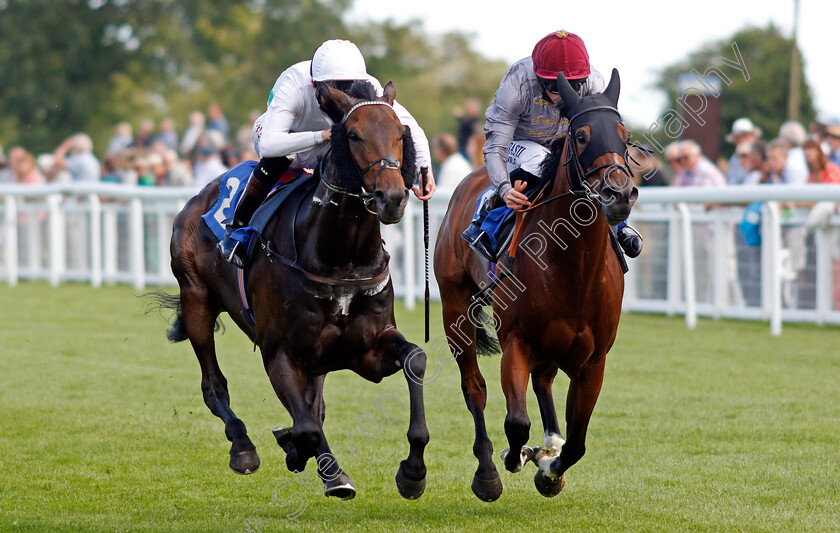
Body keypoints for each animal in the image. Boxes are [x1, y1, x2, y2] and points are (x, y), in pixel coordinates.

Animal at [157, 81, 430, 500]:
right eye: (353, 135)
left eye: (401, 134)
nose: (394, 197)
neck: (341, 257)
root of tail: (200, 196)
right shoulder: (280, 353)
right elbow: (306, 427)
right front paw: (311, 459)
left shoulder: (366, 350)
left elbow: (414, 359)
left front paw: (413, 472)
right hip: (197, 300)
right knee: (213, 384)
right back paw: (243, 446)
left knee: (313, 404)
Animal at [434, 68, 636, 500]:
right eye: (582, 135)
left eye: (624, 135)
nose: (620, 193)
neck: (574, 268)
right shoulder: (516, 342)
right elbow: (516, 423)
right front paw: (517, 457)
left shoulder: (593, 360)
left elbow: (577, 442)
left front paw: (549, 468)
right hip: (455, 310)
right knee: (474, 387)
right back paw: (488, 471)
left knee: (543, 381)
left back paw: (549, 445)